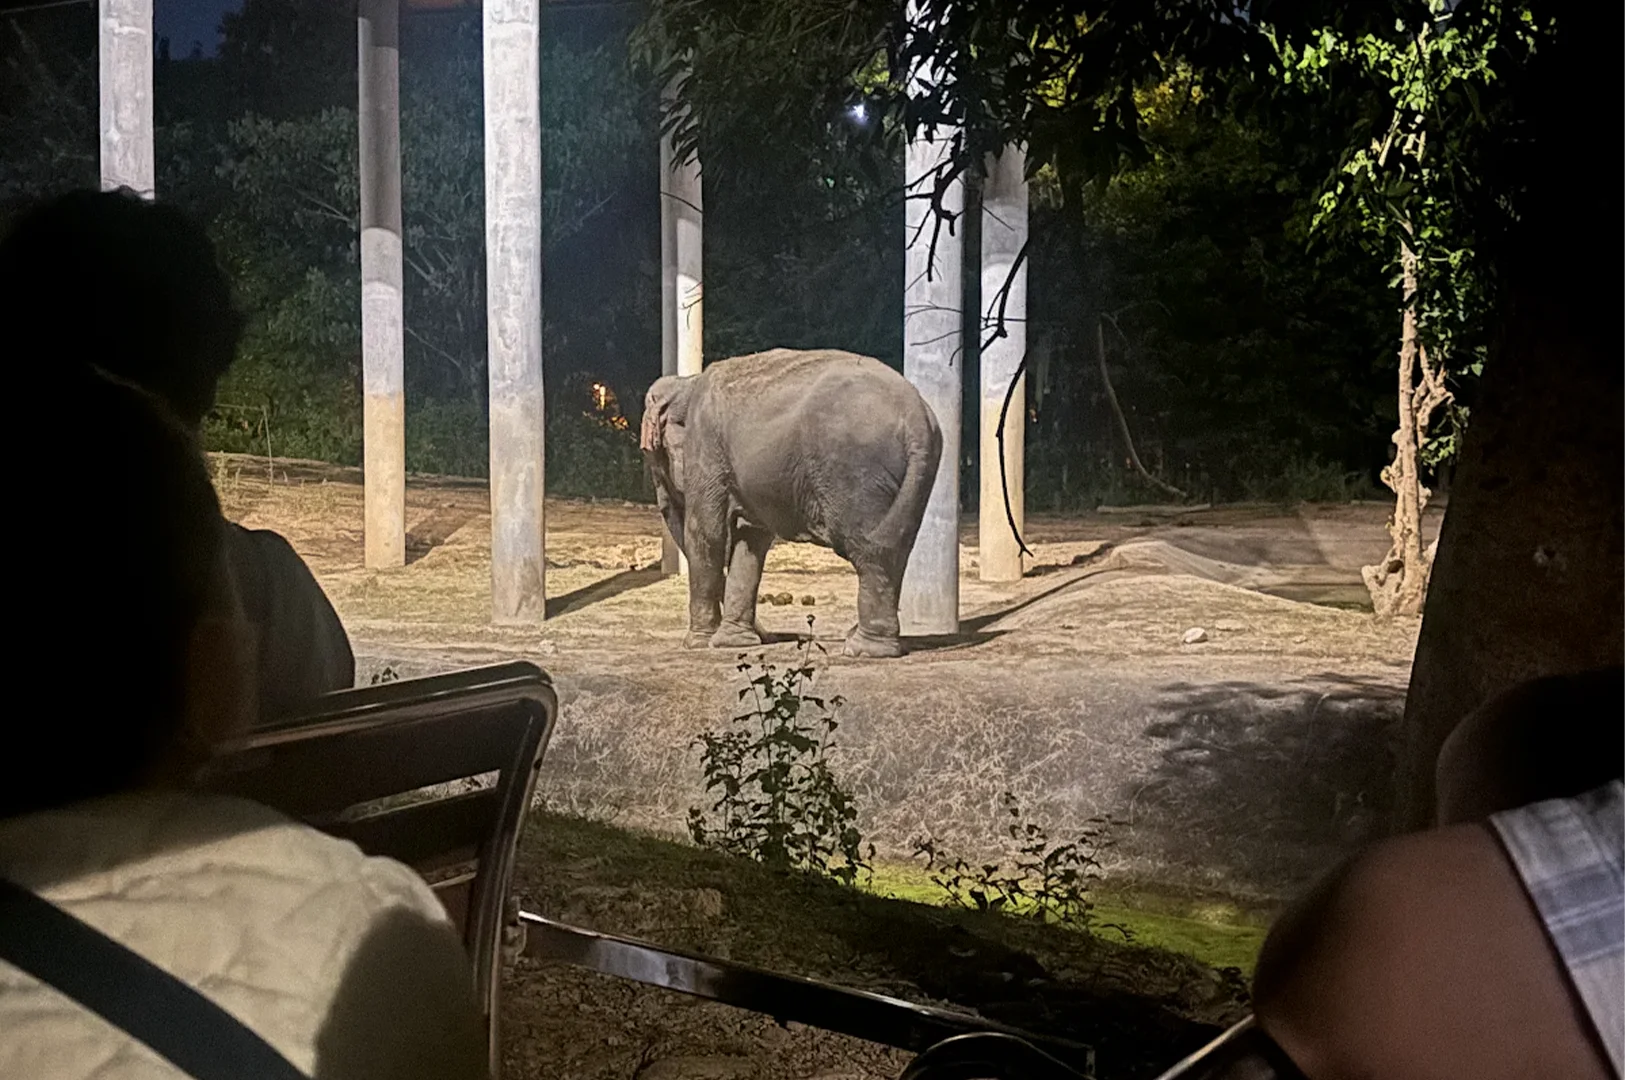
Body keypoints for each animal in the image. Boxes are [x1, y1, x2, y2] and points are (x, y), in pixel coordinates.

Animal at [640, 348, 943, 658]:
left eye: (652, 455)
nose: (771, 636)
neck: (687, 382)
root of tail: (917, 417)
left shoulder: (707, 446)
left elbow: (706, 533)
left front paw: (698, 643)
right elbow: (751, 541)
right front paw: (734, 642)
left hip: (857, 473)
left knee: (868, 549)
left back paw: (861, 648)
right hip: (914, 478)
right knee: (896, 549)